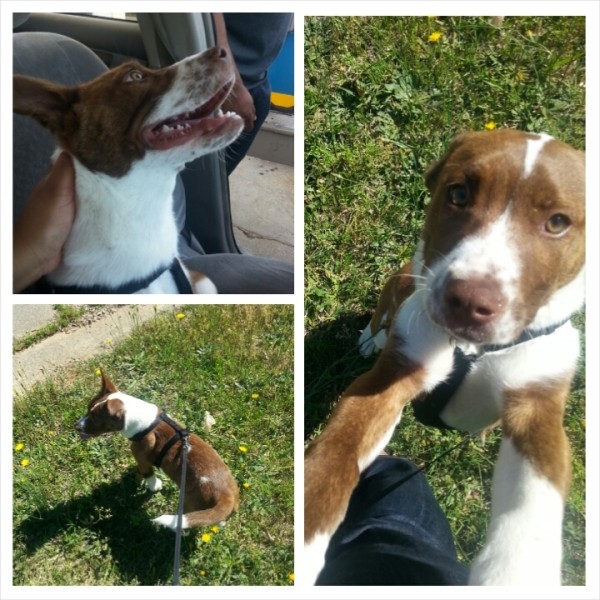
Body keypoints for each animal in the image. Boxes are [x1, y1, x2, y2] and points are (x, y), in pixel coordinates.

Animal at [76, 370, 240, 528]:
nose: (76, 426)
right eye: (87, 409)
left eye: (95, 419)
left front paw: (153, 486)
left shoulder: (142, 458)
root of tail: (226, 497)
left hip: (190, 503)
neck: (146, 422)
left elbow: (149, 475)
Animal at [302, 129, 584, 584]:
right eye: (458, 194)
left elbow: (533, 504)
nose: (468, 301)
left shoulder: (537, 404)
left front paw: (513, 576)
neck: (473, 349)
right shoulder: (394, 372)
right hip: (403, 278)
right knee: (389, 294)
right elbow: (337, 453)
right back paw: (370, 337)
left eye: (557, 222)